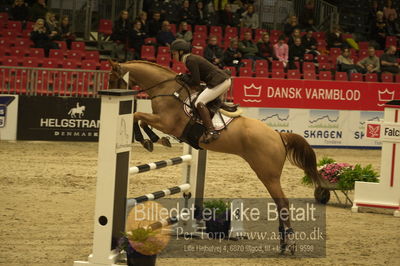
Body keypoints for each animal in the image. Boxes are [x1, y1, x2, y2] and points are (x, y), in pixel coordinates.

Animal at [108, 59, 324, 254]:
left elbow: (137, 116)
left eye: (113, 79)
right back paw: (283, 243)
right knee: (280, 205)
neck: (167, 89)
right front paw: (154, 140)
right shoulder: (162, 122)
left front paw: (147, 140)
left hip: (267, 175)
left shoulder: (166, 122)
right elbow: (142, 120)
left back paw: (289, 243)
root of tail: (279, 135)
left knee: (283, 203)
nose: (108, 93)